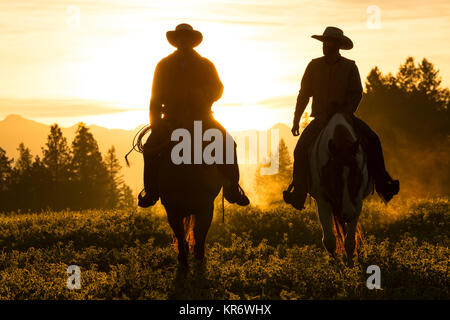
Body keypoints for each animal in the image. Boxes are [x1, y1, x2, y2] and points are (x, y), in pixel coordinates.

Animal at [310, 114, 372, 264]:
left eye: (357, 173)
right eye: (334, 174)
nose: (348, 214)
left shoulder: (357, 201)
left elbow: (350, 242)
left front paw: (350, 265)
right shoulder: (322, 200)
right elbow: (329, 241)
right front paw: (337, 266)